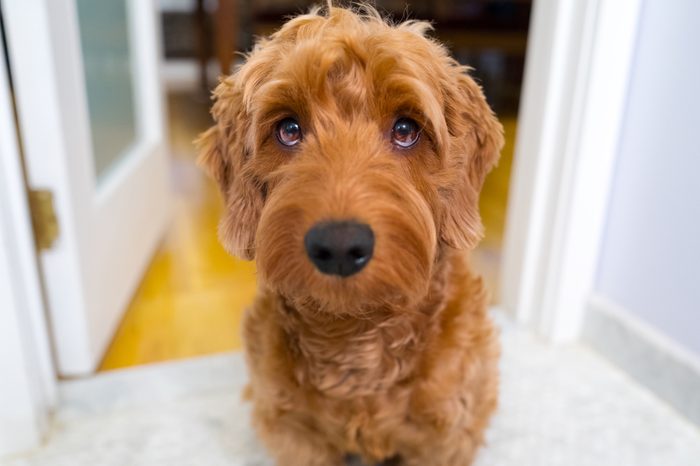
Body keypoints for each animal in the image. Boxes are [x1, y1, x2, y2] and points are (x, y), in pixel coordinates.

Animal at [197, 3, 504, 466]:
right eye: (289, 130)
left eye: (405, 130)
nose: (339, 245)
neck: (356, 337)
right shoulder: (295, 433)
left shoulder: (443, 437)